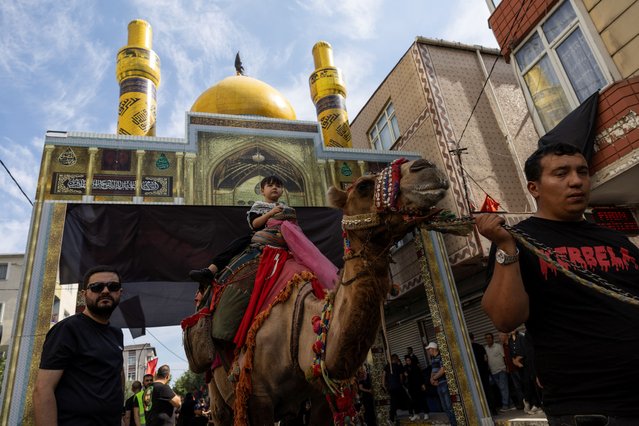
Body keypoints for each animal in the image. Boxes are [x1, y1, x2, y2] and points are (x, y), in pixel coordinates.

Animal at [205, 158, 450, 424]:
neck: (297, 326)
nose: (425, 166)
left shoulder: (318, 394)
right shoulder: (258, 397)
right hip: (218, 391)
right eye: (363, 186)